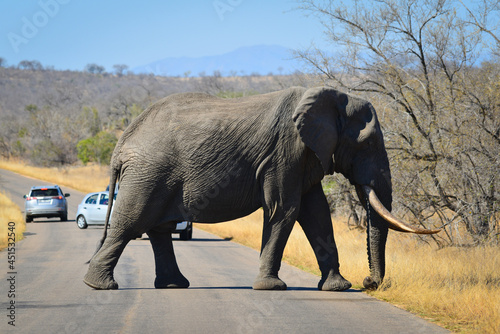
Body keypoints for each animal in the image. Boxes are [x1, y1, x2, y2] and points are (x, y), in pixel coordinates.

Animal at [84, 85, 440, 290]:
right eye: (367, 144)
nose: (370, 283)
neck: (333, 97)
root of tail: (122, 142)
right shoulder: (286, 151)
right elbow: (285, 210)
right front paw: (272, 287)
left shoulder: (305, 155)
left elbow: (316, 214)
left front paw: (338, 287)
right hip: (149, 173)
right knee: (130, 224)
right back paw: (99, 286)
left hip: (155, 175)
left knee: (159, 229)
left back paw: (173, 285)